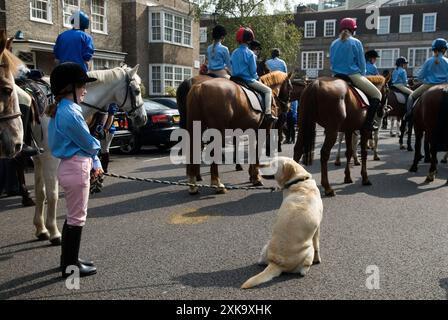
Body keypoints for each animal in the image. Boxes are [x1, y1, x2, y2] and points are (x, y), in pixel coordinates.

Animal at [30, 65, 146, 245]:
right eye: (137, 91)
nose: (143, 118)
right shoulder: (50, 158)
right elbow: (52, 194)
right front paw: (53, 232)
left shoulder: (38, 157)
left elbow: (40, 192)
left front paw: (41, 229)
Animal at [242, 156, 322, 288]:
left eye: (273, 164)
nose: (259, 164)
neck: (299, 181)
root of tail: (276, 263)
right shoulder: (318, 227)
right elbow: (317, 245)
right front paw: (318, 259)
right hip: (308, 249)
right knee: (303, 269)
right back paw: (306, 269)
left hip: (266, 245)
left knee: (261, 261)